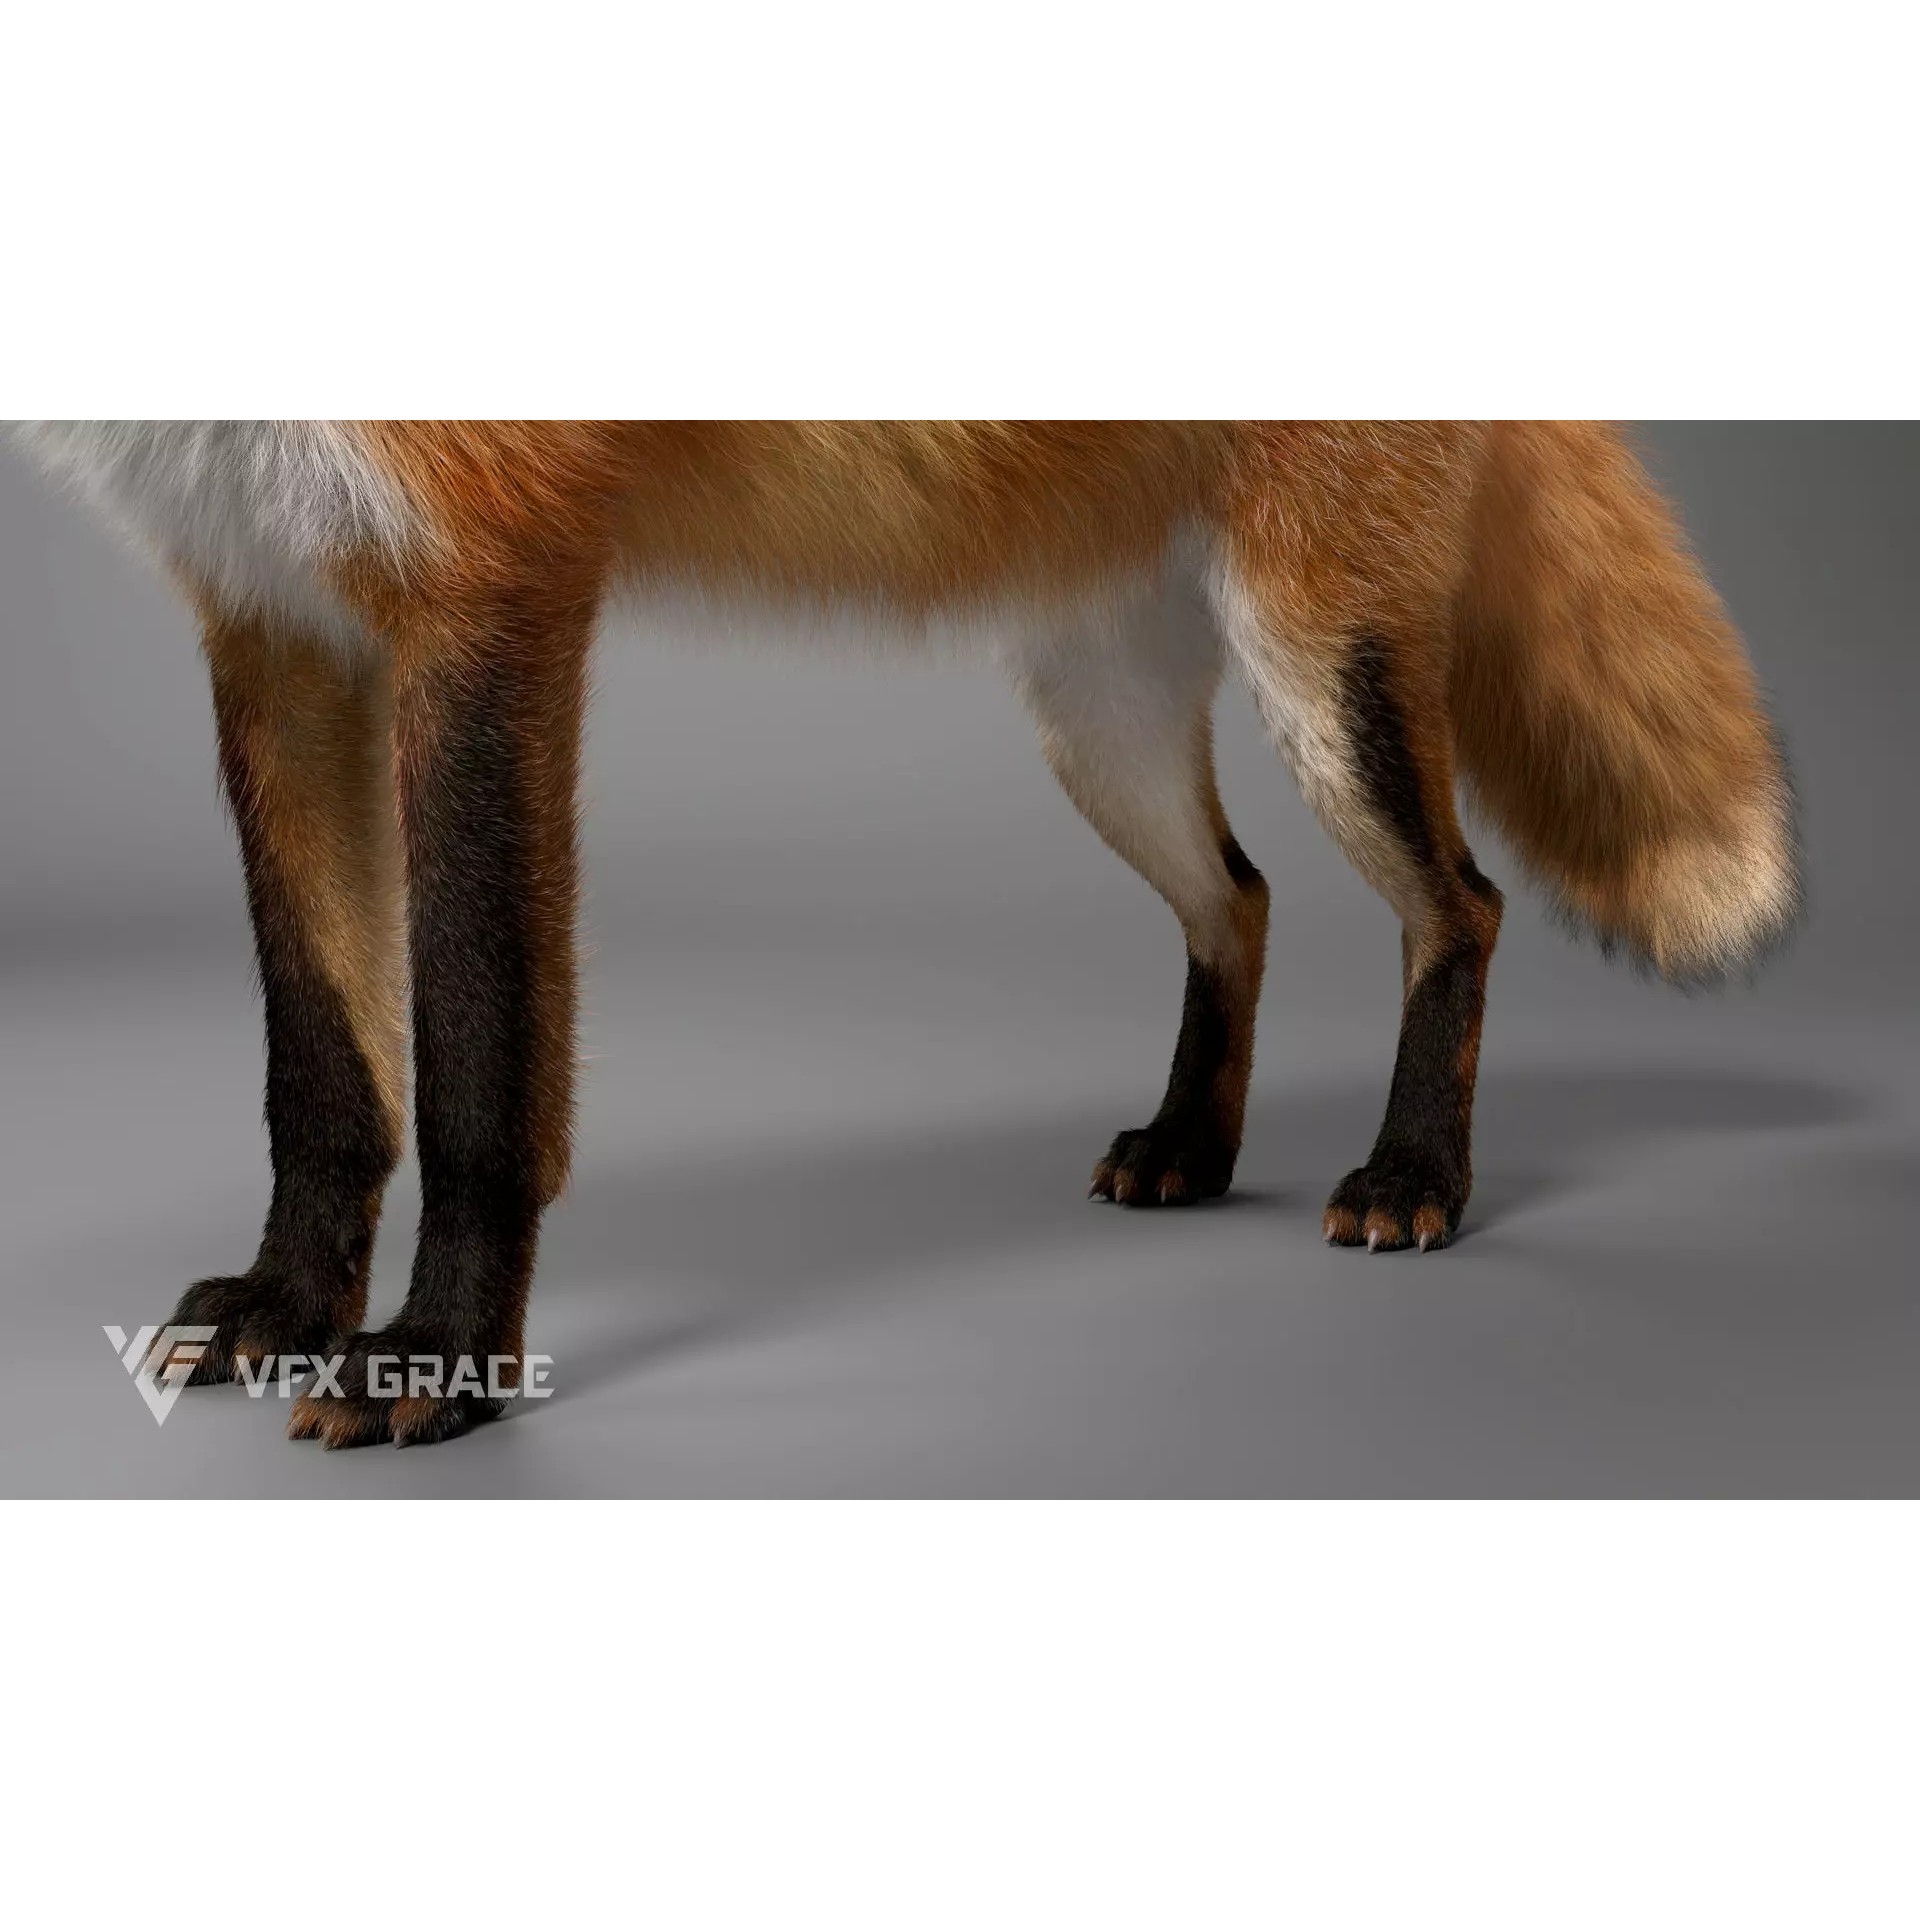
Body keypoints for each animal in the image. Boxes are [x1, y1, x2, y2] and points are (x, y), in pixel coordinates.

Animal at [17, 422, 1799, 1449]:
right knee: (1239, 895)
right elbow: (321, 1063)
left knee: (1462, 905)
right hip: (1101, 718)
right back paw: (1193, 1144)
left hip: (1320, 671)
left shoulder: (483, 586)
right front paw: (289, 1304)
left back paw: (1419, 1170)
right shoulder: (271, 613)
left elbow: (475, 1061)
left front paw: (442, 1360)